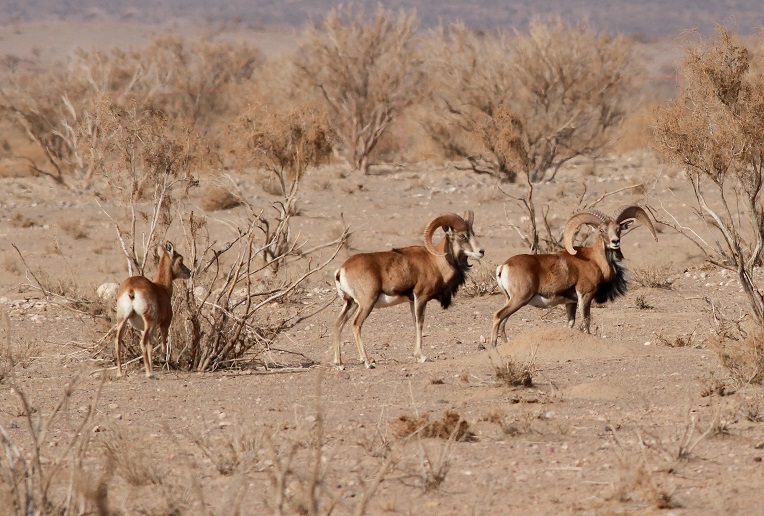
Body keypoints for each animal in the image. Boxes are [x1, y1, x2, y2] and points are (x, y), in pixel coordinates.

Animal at [334, 212, 484, 368]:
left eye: (472, 233)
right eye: (462, 236)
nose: (481, 252)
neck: (435, 261)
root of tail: (341, 270)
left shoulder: (412, 301)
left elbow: (414, 322)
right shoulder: (421, 298)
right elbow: (420, 323)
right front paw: (422, 357)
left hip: (351, 304)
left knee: (338, 323)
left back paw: (339, 363)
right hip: (366, 304)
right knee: (356, 325)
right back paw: (367, 362)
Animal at [490, 206, 656, 346]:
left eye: (618, 229)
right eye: (602, 230)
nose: (615, 242)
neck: (594, 259)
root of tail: (504, 266)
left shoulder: (571, 303)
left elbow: (571, 323)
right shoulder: (585, 295)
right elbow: (586, 321)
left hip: (511, 300)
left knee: (503, 322)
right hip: (519, 299)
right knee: (498, 316)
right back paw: (493, 345)